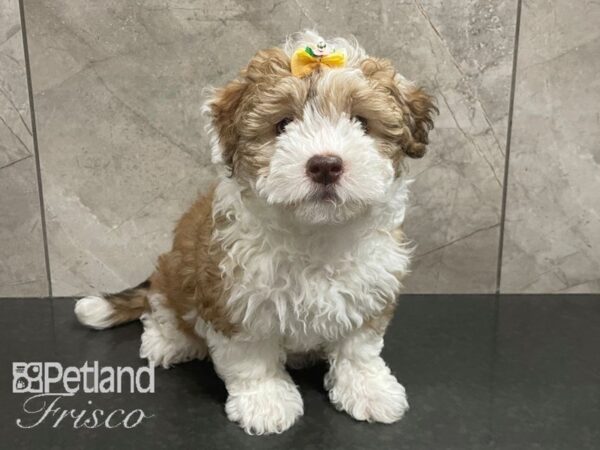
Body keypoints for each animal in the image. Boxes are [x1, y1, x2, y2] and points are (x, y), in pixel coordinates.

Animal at [76, 29, 436, 434]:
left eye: (360, 121)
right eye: (282, 124)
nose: (325, 165)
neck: (315, 233)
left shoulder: (369, 289)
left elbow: (357, 349)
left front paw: (369, 389)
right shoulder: (233, 299)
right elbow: (252, 359)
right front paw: (266, 402)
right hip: (174, 271)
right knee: (162, 307)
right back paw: (168, 342)